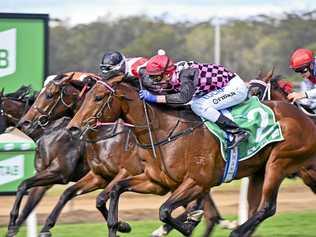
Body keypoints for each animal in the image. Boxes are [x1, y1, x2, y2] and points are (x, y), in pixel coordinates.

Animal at [67, 77, 316, 237]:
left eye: (99, 97)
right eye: (86, 96)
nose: (73, 127)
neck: (166, 131)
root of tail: (305, 118)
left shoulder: (197, 182)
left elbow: (165, 211)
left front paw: (190, 222)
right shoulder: (156, 182)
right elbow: (116, 191)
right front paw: (121, 225)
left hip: (280, 161)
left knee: (267, 207)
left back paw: (236, 231)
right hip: (259, 170)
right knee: (257, 208)